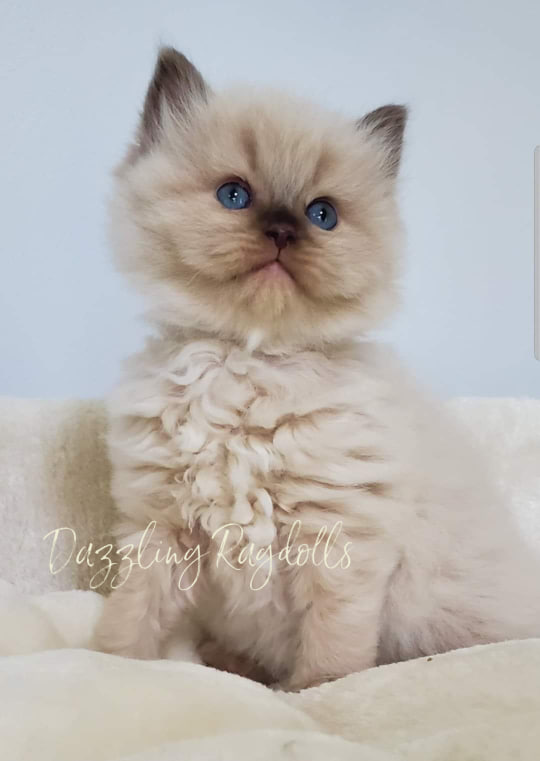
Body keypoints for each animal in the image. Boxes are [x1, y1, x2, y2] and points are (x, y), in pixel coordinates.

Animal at [96, 46, 540, 688]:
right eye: (234, 196)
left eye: (322, 214)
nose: (283, 229)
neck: (247, 359)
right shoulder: (161, 527)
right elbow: (131, 615)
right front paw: (113, 665)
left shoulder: (338, 537)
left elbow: (332, 644)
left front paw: (313, 692)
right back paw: (232, 663)